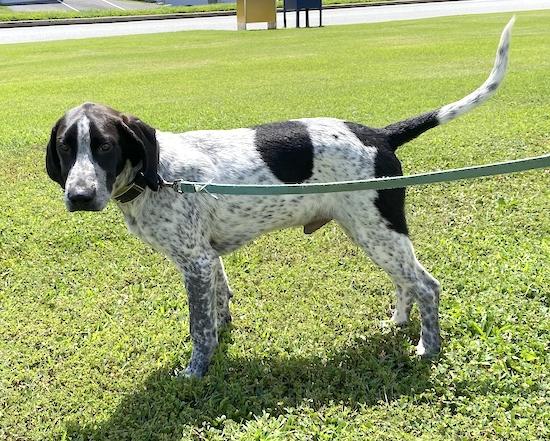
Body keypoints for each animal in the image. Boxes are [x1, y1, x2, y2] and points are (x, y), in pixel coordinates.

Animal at [45, 19, 516, 378]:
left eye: (105, 146)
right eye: (66, 147)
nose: (80, 196)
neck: (157, 176)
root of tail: (379, 134)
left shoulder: (195, 262)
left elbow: (199, 328)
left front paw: (196, 371)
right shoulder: (209, 259)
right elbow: (219, 306)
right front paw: (223, 339)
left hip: (378, 230)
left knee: (427, 285)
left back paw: (427, 347)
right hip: (374, 233)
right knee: (407, 282)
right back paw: (400, 322)